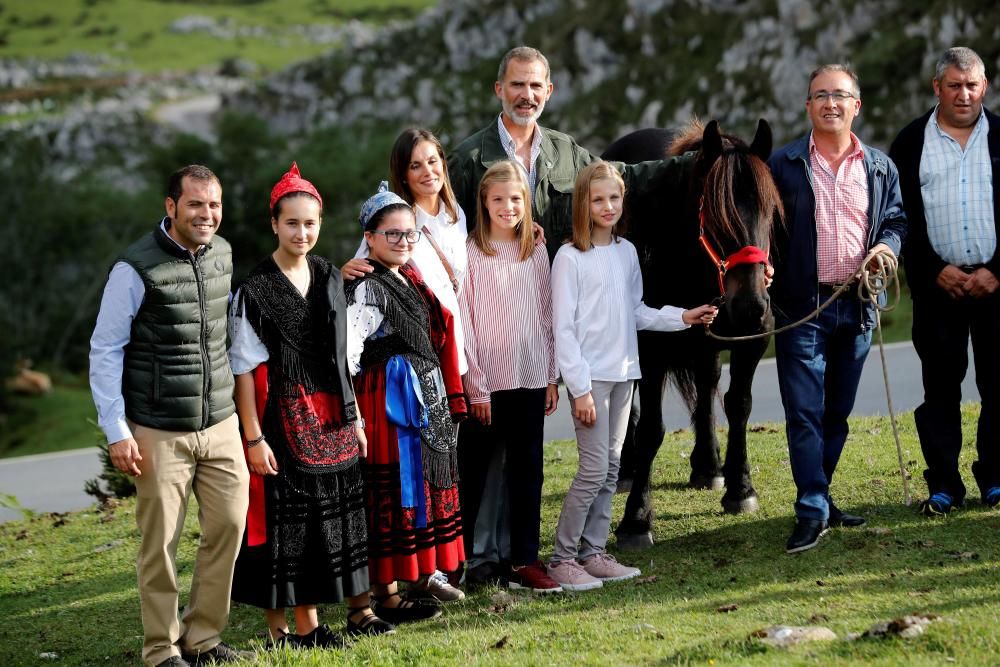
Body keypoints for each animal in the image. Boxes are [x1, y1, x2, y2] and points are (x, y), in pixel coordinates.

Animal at [600, 118, 780, 548]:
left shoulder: (753, 337)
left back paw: (708, 466)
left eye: (769, 211)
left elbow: (738, 403)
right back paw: (627, 470)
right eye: (714, 215)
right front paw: (636, 519)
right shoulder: (648, 349)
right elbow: (651, 428)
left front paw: (740, 487)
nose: (750, 305)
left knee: (706, 383)